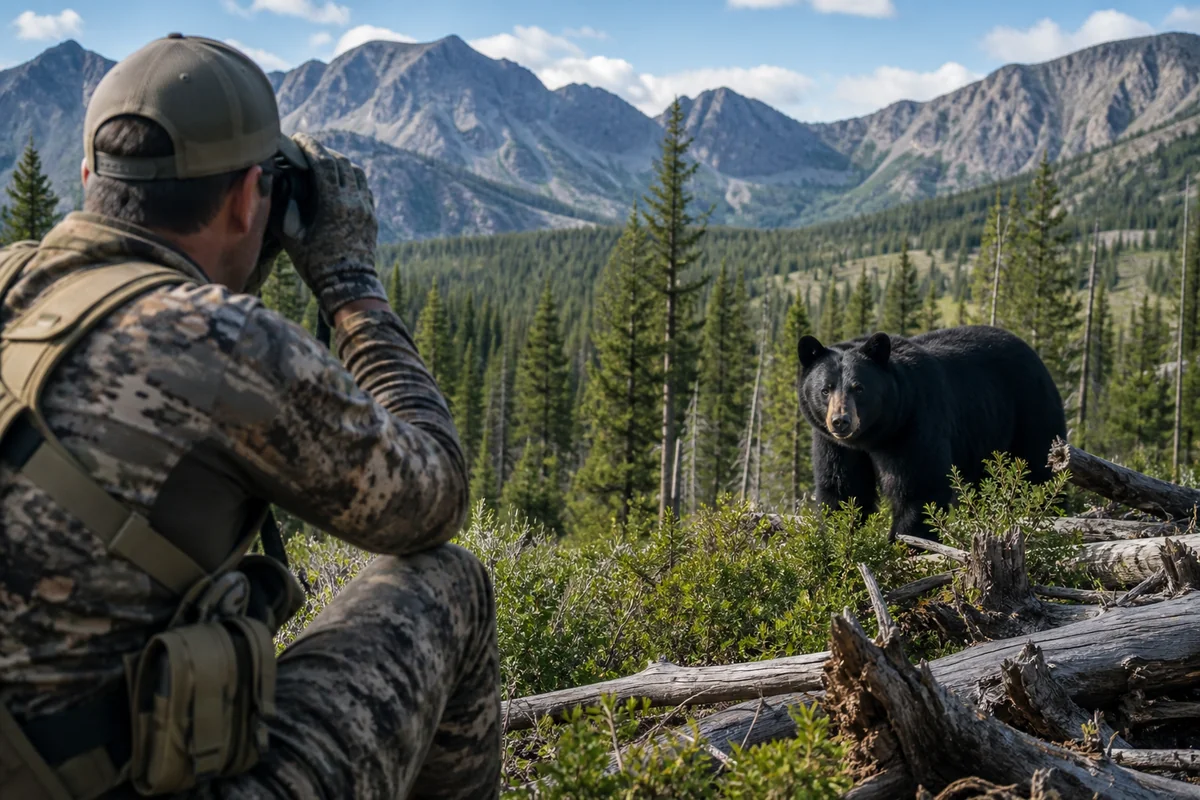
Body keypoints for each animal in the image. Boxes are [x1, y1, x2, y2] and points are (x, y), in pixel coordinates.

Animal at [797, 325, 1067, 543]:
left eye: (859, 388)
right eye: (825, 389)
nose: (840, 421)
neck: (873, 435)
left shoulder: (914, 422)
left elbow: (919, 485)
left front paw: (904, 544)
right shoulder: (834, 445)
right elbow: (843, 489)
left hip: (1030, 410)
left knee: (1039, 469)